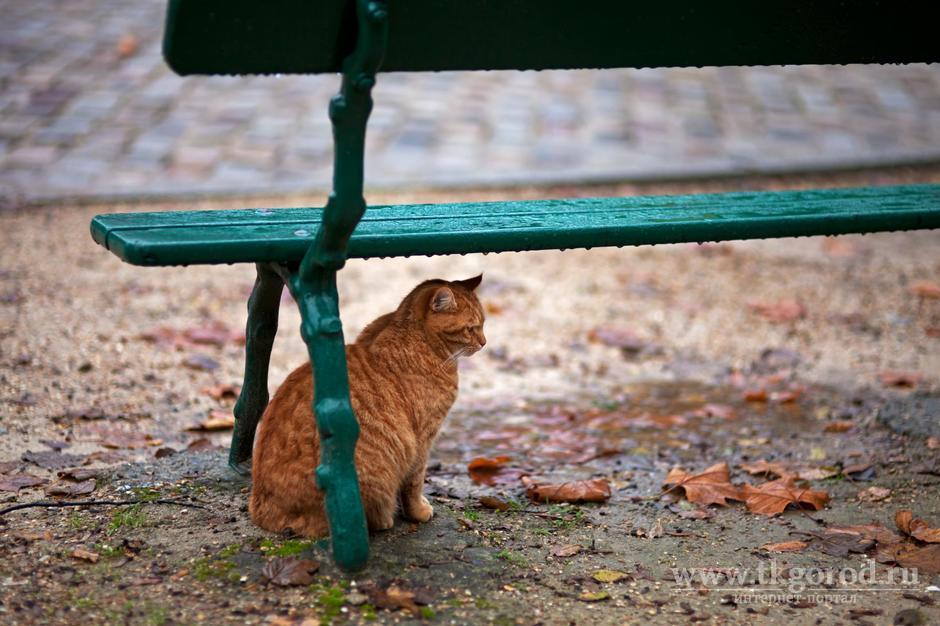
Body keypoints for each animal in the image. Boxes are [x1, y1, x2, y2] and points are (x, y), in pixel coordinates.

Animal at [250, 276, 484, 532]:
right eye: (471, 329)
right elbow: (414, 483)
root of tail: (262, 510)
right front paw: (418, 511)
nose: (484, 342)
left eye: (483, 324)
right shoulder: (422, 441)